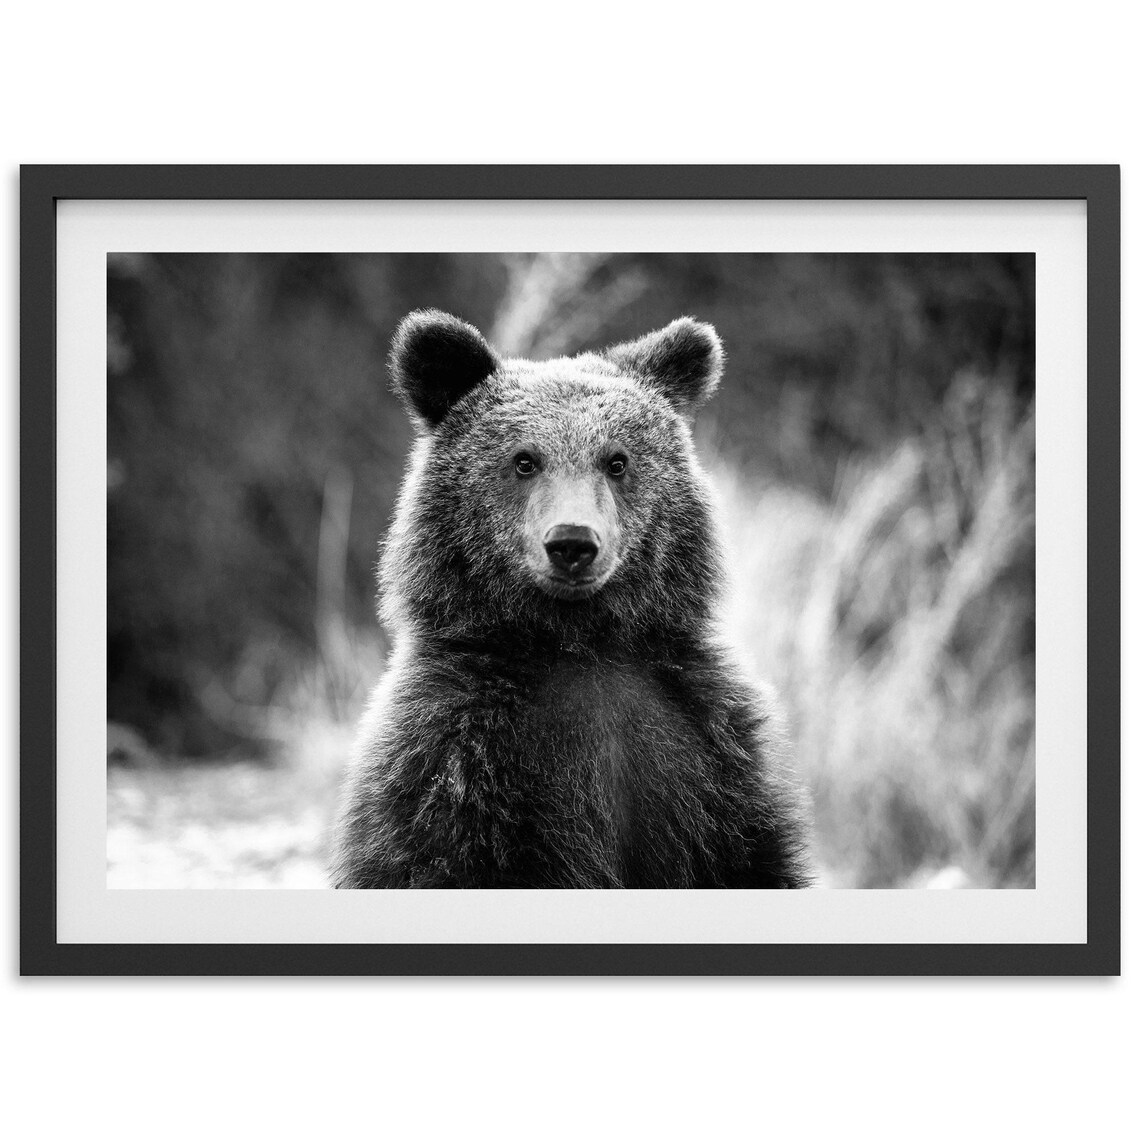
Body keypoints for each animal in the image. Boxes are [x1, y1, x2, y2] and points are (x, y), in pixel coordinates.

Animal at [330, 310, 812, 889]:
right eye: (524, 460)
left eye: (617, 461)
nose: (572, 543)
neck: (579, 644)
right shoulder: (452, 762)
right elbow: (432, 857)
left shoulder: (709, 753)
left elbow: (751, 857)